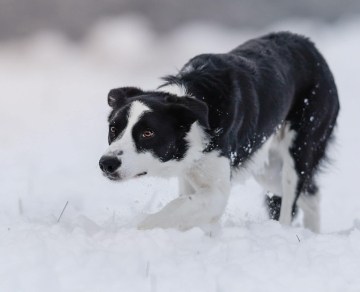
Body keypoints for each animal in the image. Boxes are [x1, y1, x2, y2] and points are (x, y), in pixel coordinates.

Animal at [97, 32, 338, 233]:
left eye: (147, 133)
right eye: (113, 129)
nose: (107, 163)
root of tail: (309, 44)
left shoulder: (216, 190)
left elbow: (177, 206)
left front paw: (137, 230)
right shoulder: (190, 173)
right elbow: (186, 207)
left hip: (299, 150)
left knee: (290, 203)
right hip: (267, 168)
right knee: (312, 195)